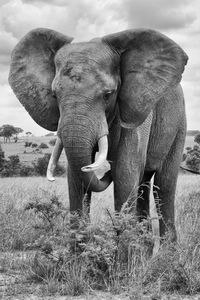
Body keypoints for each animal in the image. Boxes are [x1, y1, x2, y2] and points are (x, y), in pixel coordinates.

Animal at [9, 27, 188, 239]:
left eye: (107, 94)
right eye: (54, 95)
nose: (103, 170)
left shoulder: (136, 110)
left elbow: (125, 173)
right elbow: (76, 178)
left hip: (180, 123)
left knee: (164, 185)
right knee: (143, 185)